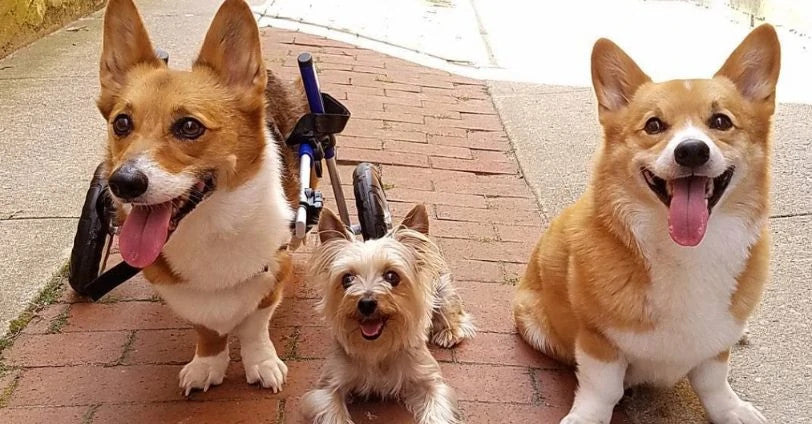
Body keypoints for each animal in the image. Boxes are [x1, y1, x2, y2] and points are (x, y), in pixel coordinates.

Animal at [98, 0, 308, 394]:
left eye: (190, 126)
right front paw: (208, 363)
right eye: (121, 123)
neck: (212, 223)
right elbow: (206, 327)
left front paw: (261, 363)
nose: (124, 183)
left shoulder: (273, 271)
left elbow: (256, 324)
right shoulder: (181, 292)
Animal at [512, 25, 780, 424]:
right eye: (654, 125)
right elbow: (602, 388)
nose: (691, 151)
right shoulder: (598, 340)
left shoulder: (715, 343)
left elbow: (714, 382)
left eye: (720, 121)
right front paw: (588, 416)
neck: (688, 254)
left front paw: (732, 410)